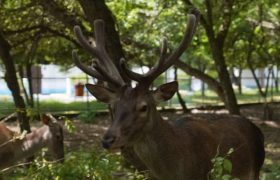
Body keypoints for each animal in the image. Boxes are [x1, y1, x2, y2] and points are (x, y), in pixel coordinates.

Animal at [72, 9, 264, 180]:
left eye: (143, 107)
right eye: (112, 107)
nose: (107, 140)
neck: (175, 173)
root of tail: (255, 127)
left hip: (256, 169)